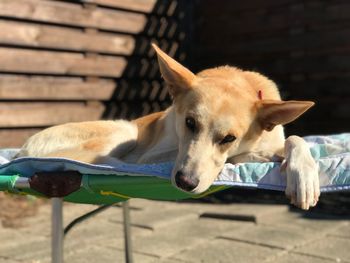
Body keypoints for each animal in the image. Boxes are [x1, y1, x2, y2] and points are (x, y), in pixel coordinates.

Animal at [18, 44, 320, 211]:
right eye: (189, 122)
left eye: (229, 137)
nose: (185, 182)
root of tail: (22, 149)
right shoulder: (153, 155)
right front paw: (260, 157)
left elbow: (296, 138)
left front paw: (303, 174)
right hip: (124, 131)